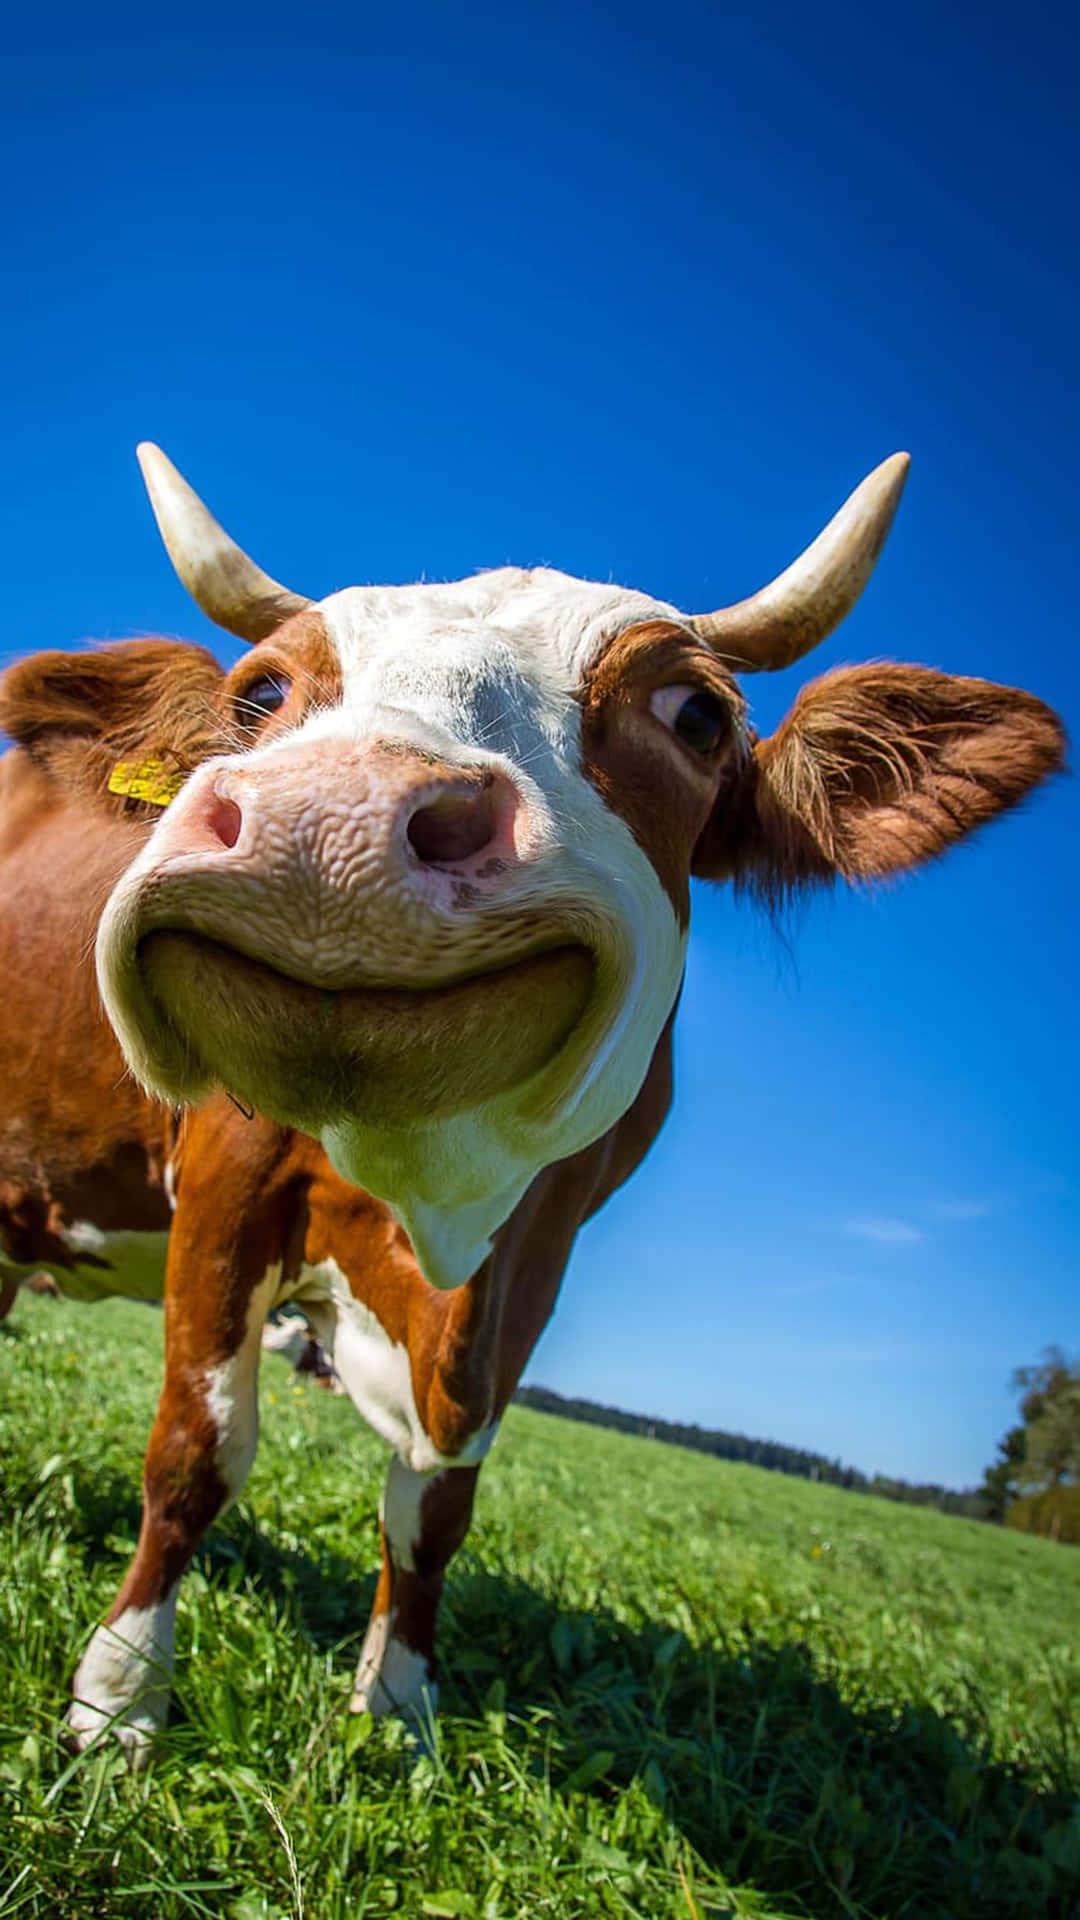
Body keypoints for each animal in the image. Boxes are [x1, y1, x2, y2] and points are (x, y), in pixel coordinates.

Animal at [0, 444, 1062, 1764]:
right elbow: (198, 1453)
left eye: (695, 715)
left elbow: (437, 1505)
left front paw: (399, 1710)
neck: (433, 1212)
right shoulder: (226, 1182)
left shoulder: (541, 1257)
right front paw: (119, 1699)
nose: (329, 822)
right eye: (260, 695)